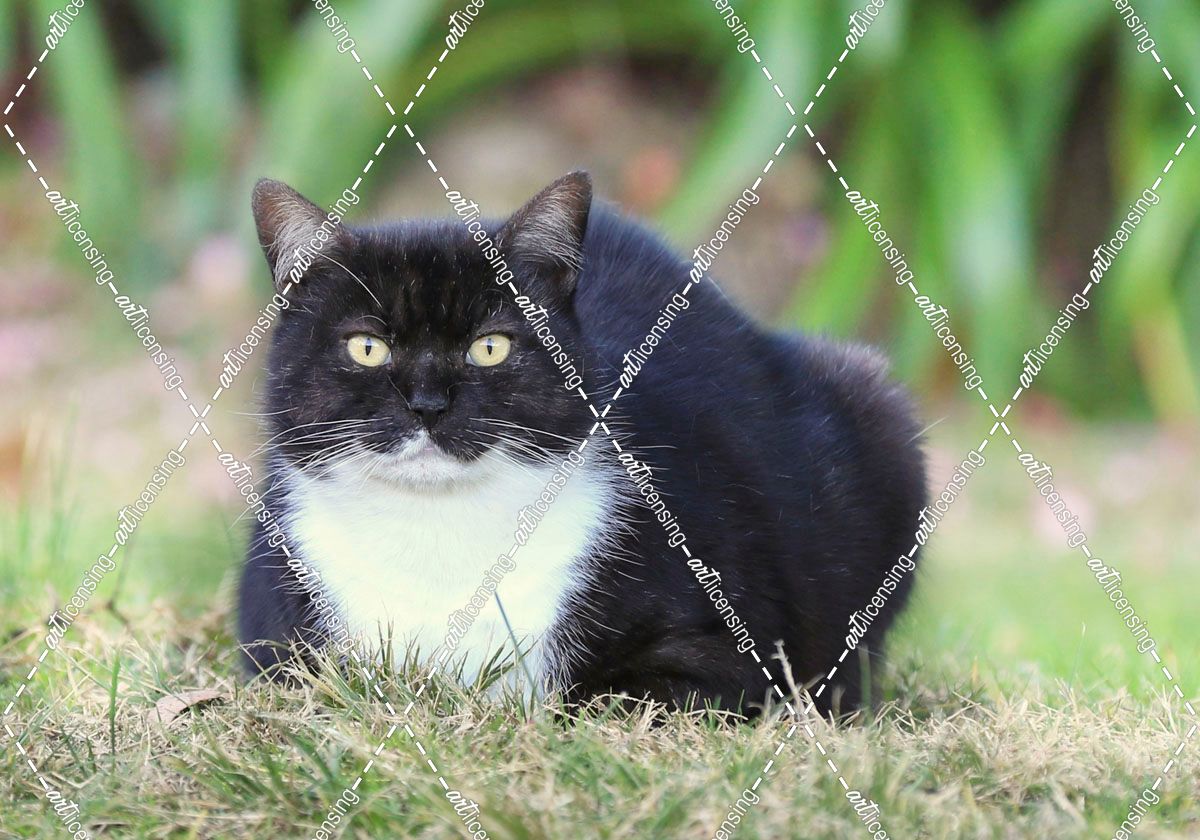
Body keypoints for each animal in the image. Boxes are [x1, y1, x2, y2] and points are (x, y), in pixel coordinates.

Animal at [237, 171, 927, 717]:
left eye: (491, 346)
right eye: (366, 347)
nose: (429, 404)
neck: (437, 533)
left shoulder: (728, 647)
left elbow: (602, 699)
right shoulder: (277, 639)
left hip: (876, 411)